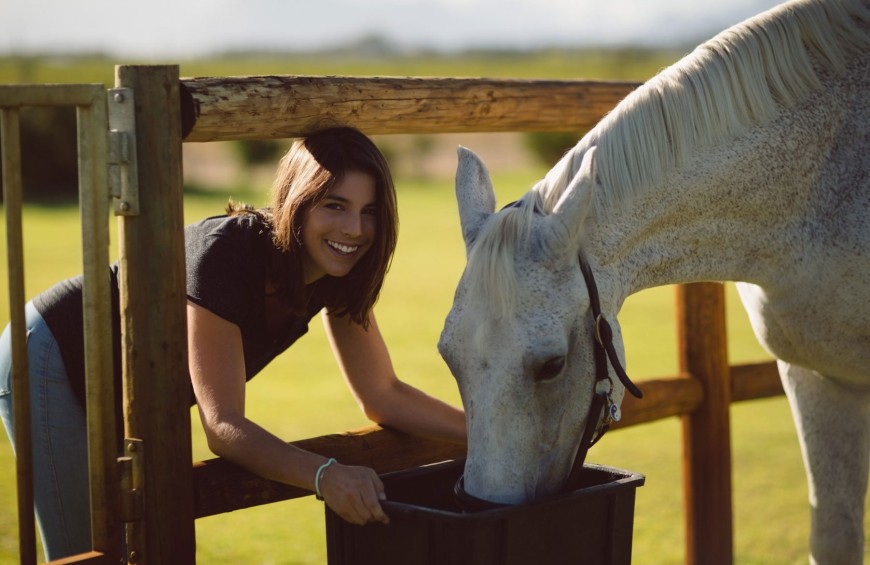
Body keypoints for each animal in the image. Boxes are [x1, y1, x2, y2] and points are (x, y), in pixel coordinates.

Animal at [437, 0, 869, 562]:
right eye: (448, 357)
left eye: (551, 365)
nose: (482, 509)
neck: (820, 189)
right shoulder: (815, 376)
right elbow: (835, 534)